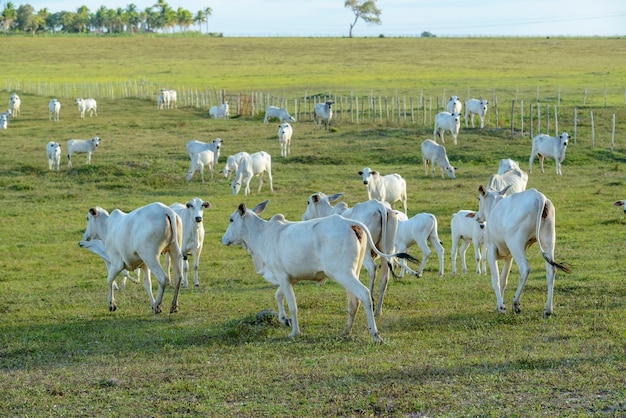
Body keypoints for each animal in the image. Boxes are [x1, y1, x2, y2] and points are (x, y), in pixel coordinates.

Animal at [472, 186, 572, 316]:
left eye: (479, 198)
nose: (477, 217)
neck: (495, 206)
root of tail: (538, 196)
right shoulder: (508, 257)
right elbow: (503, 281)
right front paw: (498, 305)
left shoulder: (491, 252)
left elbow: (496, 280)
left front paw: (501, 307)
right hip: (548, 240)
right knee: (551, 270)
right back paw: (547, 310)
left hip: (516, 245)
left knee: (525, 269)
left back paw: (515, 303)